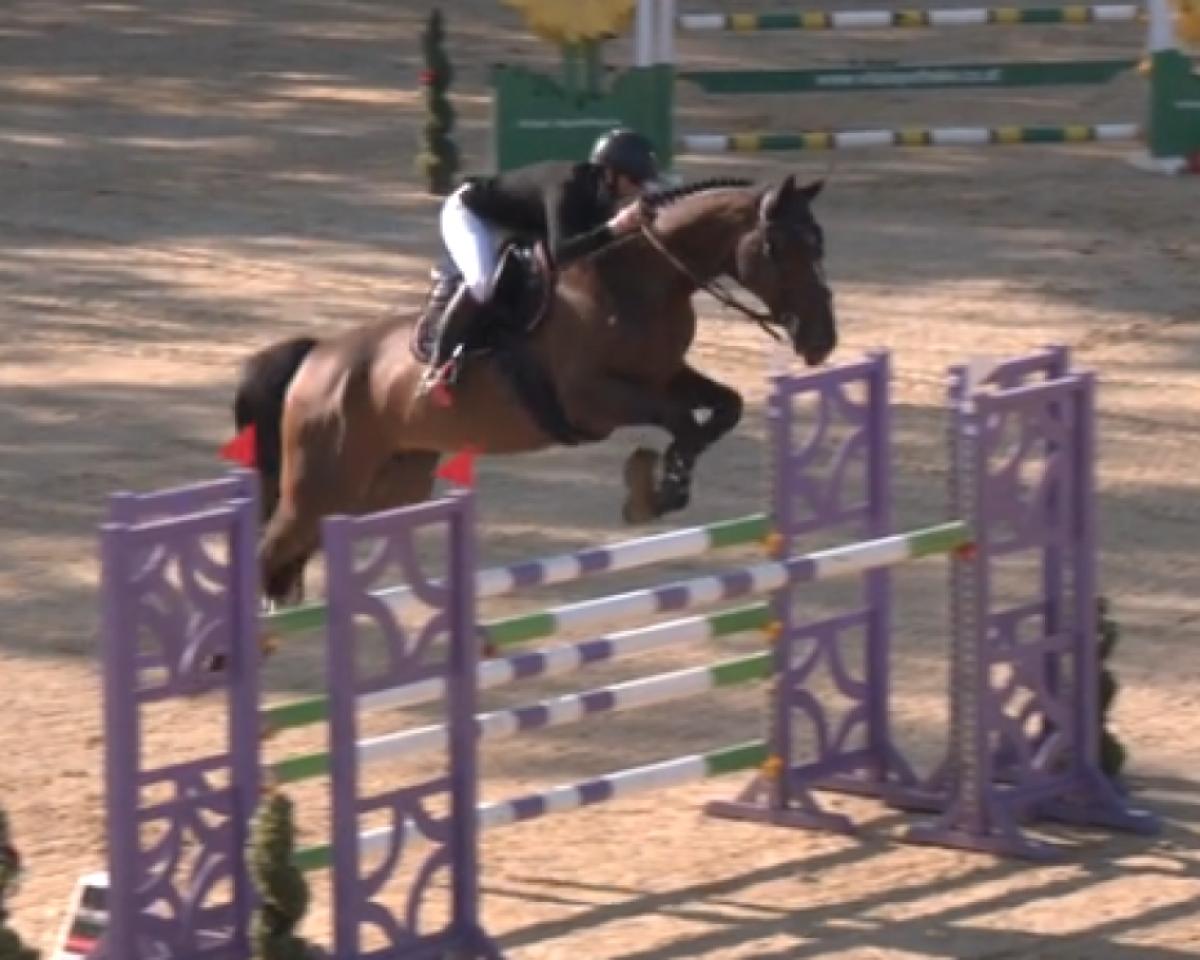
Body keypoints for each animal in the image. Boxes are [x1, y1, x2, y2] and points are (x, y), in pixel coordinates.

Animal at [230, 174, 838, 605]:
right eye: (780, 247)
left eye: (819, 244)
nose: (823, 340)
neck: (640, 280)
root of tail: (315, 359)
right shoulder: (593, 400)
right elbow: (680, 421)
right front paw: (655, 489)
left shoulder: (666, 375)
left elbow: (724, 408)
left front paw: (664, 485)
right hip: (320, 483)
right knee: (268, 549)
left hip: (383, 487)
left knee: (293, 556)